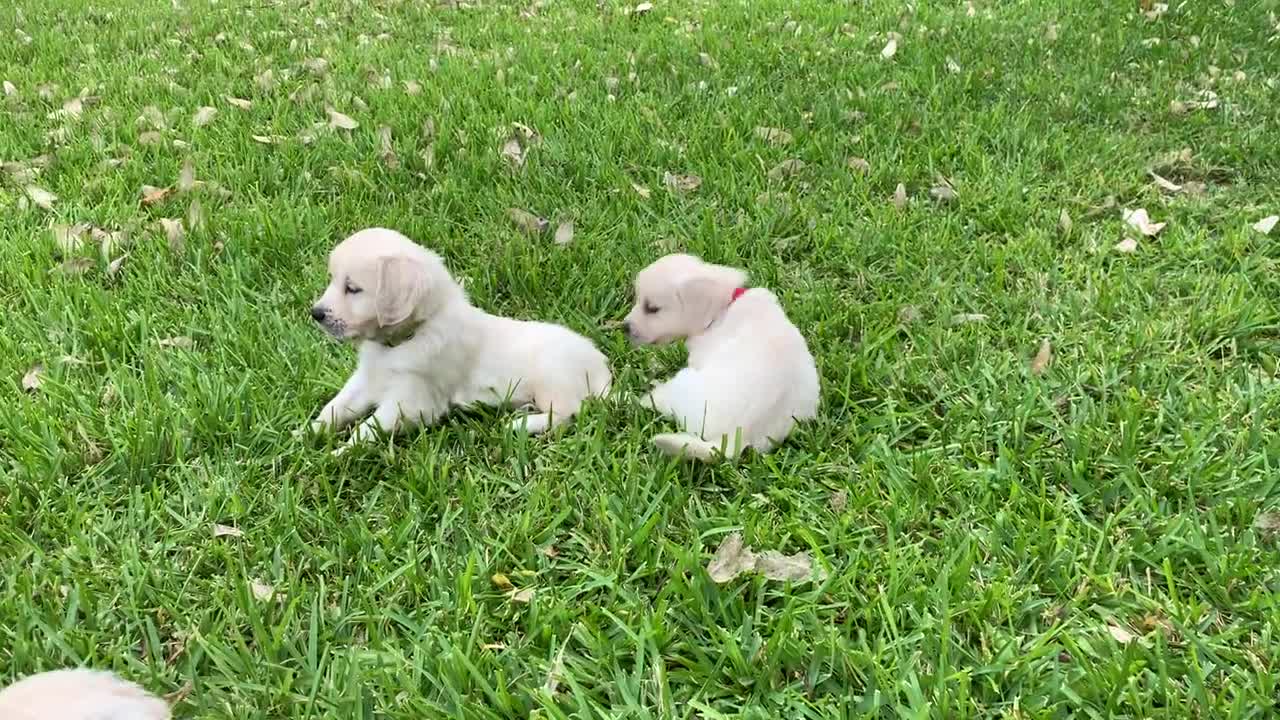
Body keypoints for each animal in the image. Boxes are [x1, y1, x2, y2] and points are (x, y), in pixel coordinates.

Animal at [307, 226, 611, 448]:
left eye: (352, 288)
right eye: (332, 279)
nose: (315, 313)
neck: (403, 341)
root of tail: (602, 370)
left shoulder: (411, 401)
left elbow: (367, 428)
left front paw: (338, 453)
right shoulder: (366, 380)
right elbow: (335, 408)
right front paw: (307, 434)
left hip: (553, 377)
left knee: (566, 414)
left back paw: (518, 424)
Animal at [622, 254, 819, 461]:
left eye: (652, 308)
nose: (624, 327)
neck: (722, 308)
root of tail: (738, 435)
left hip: (683, 383)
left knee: (654, 400)